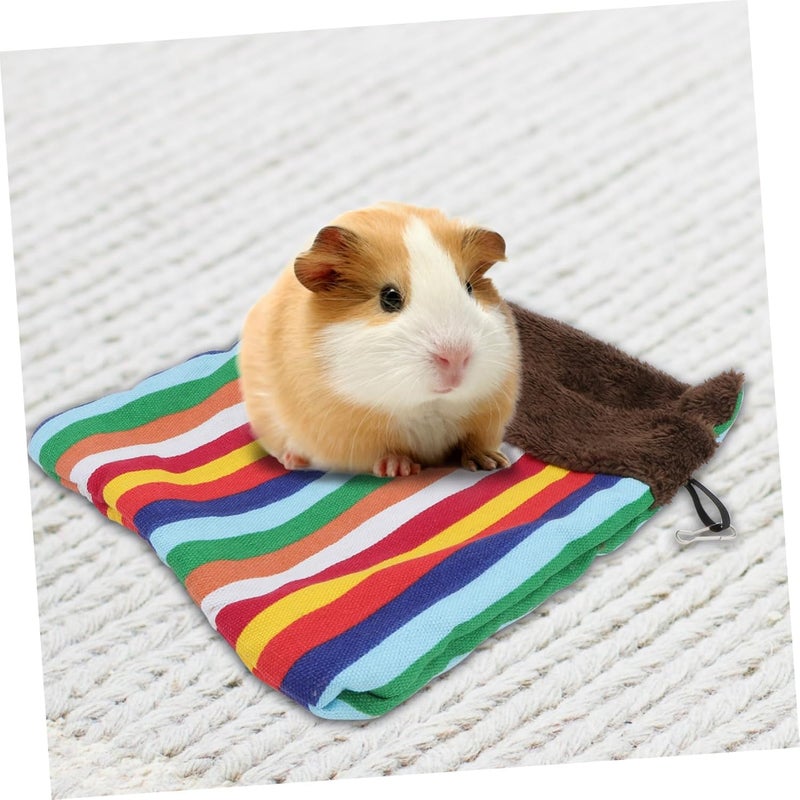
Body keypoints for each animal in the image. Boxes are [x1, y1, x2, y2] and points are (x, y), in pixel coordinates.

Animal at [238, 202, 521, 478]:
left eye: (469, 288)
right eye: (389, 297)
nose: (455, 357)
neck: (428, 404)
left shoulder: (486, 415)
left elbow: (474, 442)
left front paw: (493, 462)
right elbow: (385, 452)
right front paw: (399, 469)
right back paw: (293, 460)